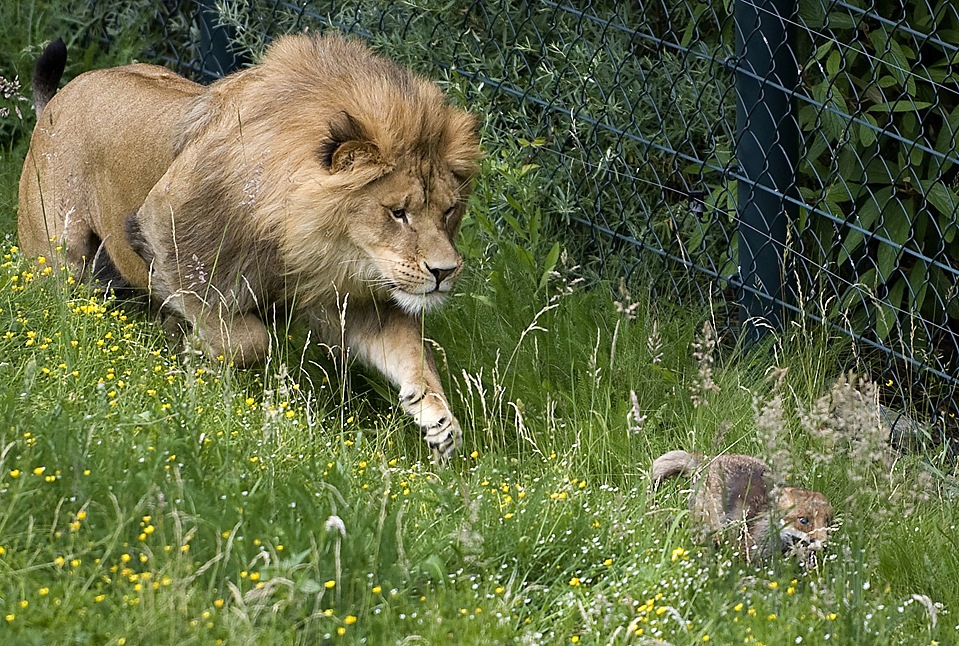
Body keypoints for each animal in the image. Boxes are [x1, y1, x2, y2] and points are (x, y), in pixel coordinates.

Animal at [20, 34, 488, 460]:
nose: (445, 272)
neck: (308, 245)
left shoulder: (356, 299)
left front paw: (439, 421)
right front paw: (199, 351)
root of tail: (59, 99)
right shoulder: (165, 233)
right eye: (398, 212)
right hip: (60, 256)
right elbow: (247, 338)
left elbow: (412, 354)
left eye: (448, 211)